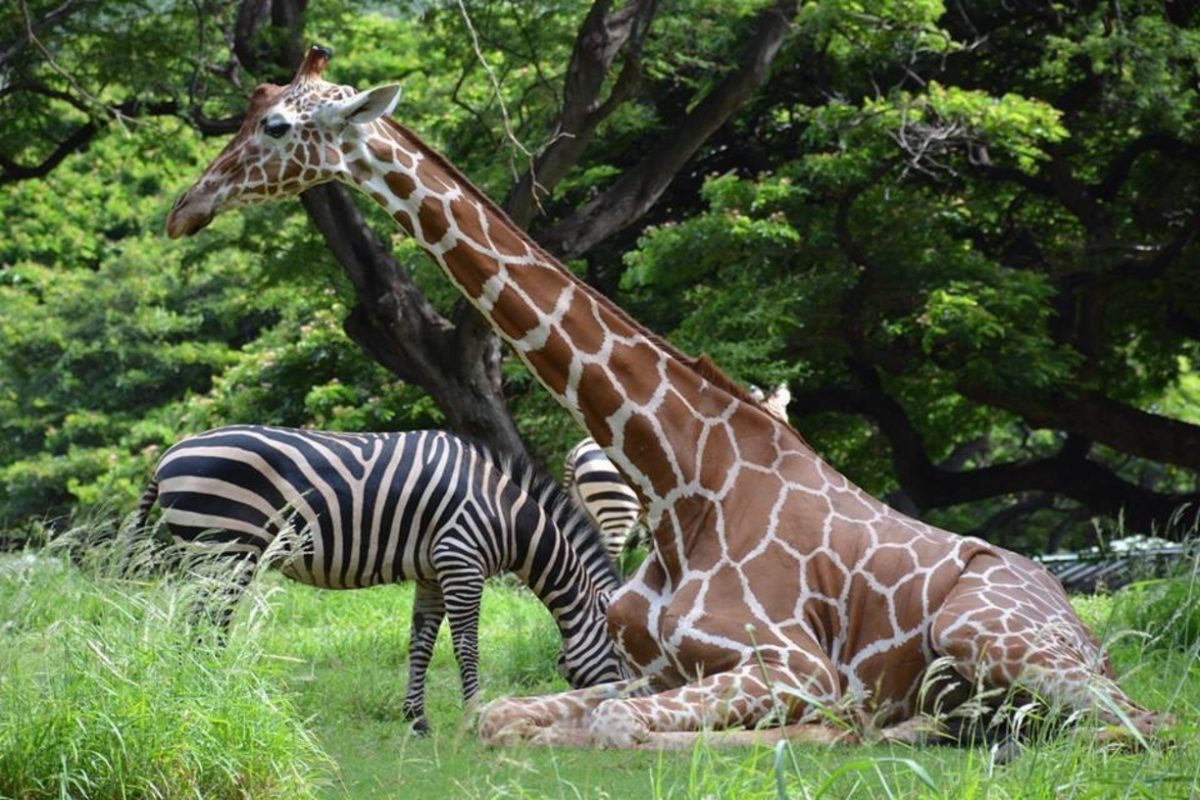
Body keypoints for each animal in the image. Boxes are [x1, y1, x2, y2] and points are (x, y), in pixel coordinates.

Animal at [136, 424, 628, 734]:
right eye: (624, 657)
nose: (621, 707)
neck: (504, 514)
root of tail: (167, 456)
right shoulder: (461, 560)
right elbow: (467, 646)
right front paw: (473, 717)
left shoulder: (433, 571)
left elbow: (421, 644)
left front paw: (416, 719)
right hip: (224, 550)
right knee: (205, 626)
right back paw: (212, 689)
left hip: (218, 555)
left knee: (202, 625)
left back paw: (206, 690)